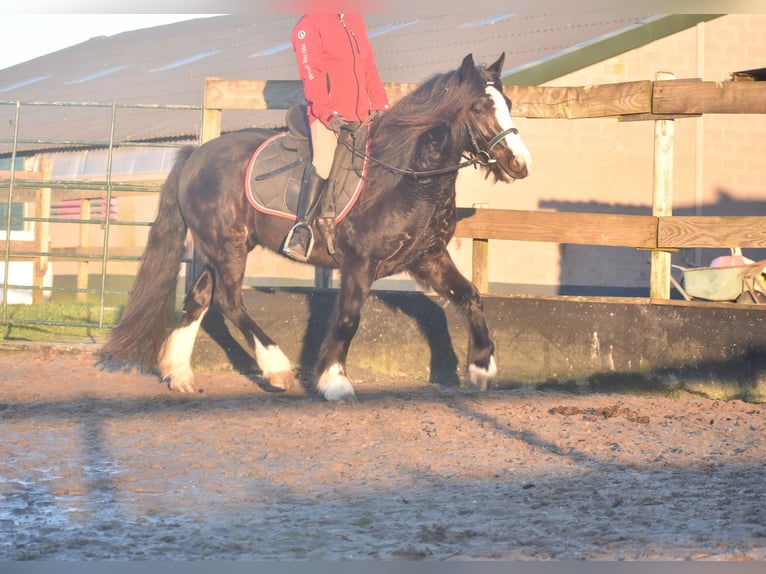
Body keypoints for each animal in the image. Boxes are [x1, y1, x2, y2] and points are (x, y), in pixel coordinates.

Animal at [100, 56, 536, 402]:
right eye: (479, 106)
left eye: (509, 104)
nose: (519, 164)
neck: (405, 174)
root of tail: (195, 155)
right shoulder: (359, 264)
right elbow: (348, 318)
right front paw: (334, 381)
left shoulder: (428, 257)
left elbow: (470, 297)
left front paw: (482, 369)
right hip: (228, 247)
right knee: (229, 301)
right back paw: (276, 368)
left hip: (217, 248)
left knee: (199, 299)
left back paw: (180, 374)